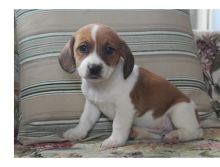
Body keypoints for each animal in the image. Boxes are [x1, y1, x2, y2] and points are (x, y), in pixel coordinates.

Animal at [58, 23, 203, 149]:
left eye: (109, 49)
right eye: (83, 48)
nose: (94, 68)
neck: (102, 85)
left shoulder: (125, 108)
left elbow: (118, 125)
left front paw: (114, 140)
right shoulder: (92, 105)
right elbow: (85, 120)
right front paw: (77, 132)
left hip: (179, 110)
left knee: (195, 132)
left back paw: (175, 135)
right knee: (159, 134)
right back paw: (138, 133)